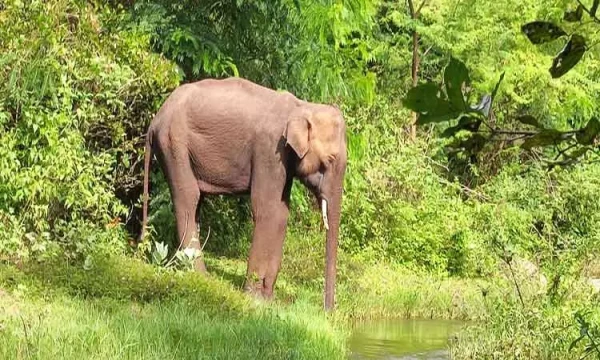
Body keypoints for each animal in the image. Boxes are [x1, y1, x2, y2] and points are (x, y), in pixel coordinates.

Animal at [138, 76, 346, 310]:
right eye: (329, 160)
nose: (327, 311)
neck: (302, 106)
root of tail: (155, 119)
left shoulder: (283, 159)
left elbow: (281, 212)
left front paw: (268, 298)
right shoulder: (269, 150)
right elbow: (268, 211)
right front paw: (255, 298)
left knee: (196, 203)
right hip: (174, 143)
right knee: (188, 199)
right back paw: (201, 277)